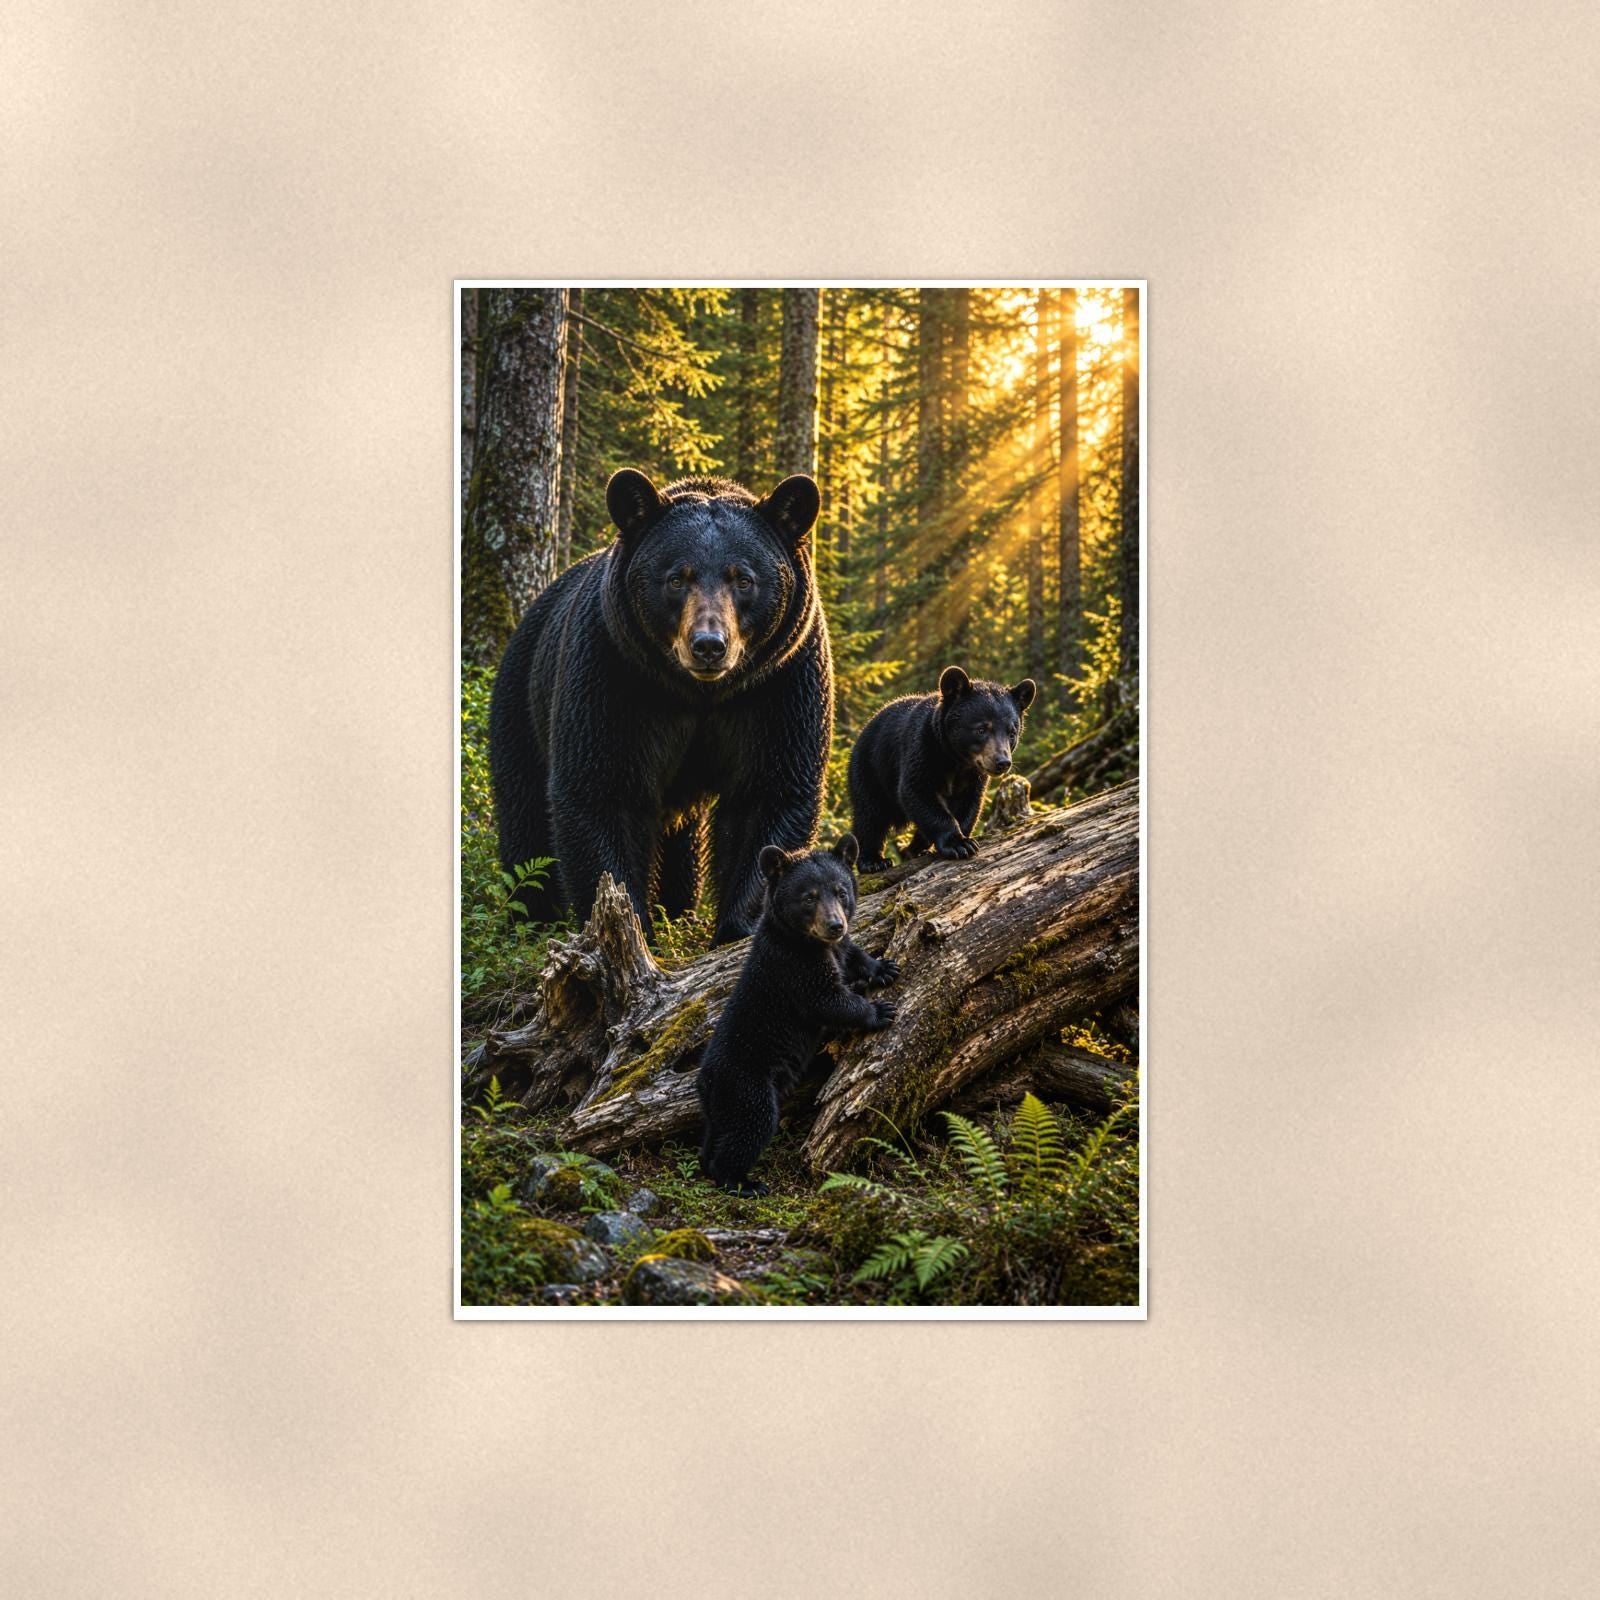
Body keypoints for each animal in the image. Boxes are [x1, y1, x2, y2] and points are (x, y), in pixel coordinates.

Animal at [488, 468, 832, 946]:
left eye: (743, 579)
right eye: (677, 578)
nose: (709, 645)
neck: (698, 693)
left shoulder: (780, 684)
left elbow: (768, 793)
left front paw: (739, 925)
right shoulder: (612, 672)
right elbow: (600, 789)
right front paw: (630, 929)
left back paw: (678, 908)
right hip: (522, 703)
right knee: (525, 817)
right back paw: (532, 920)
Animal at [697, 836, 898, 1194]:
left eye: (841, 891)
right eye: (809, 897)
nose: (835, 925)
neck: (807, 941)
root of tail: (704, 1083)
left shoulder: (834, 950)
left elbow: (852, 955)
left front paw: (882, 968)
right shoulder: (794, 967)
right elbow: (827, 1000)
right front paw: (878, 1010)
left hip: (721, 1105)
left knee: (716, 1134)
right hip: (747, 1087)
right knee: (750, 1128)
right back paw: (741, 1181)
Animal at [847, 666, 1037, 873]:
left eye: (1012, 733)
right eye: (981, 729)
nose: (1002, 762)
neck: (956, 760)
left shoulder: (974, 776)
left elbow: (969, 804)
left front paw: (962, 838)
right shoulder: (921, 750)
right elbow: (917, 790)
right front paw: (959, 844)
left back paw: (914, 849)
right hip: (870, 769)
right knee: (870, 815)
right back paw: (873, 860)